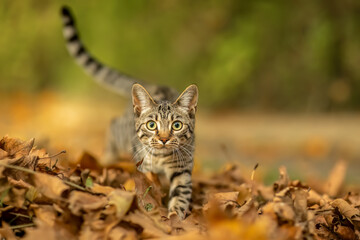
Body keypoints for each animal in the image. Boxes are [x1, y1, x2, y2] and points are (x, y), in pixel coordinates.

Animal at [60, 6, 198, 219]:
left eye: (176, 125)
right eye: (151, 125)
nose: (164, 139)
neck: (162, 159)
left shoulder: (182, 169)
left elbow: (180, 196)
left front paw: (175, 217)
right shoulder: (144, 167)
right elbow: (147, 188)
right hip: (121, 133)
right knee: (113, 125)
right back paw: (107, 158)